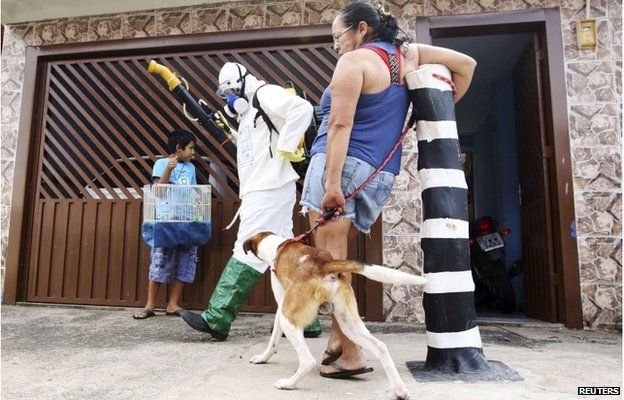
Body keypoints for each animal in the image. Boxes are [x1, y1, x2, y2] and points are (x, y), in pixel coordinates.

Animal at [241, 231, 426, 400]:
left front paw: (263, 358)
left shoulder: (281, 306)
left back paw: (288, 384)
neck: (278, 246)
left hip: (289, 319)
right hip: (349, 325)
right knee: (380, 347)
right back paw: (399, 390)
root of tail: (324, 265)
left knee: (308, 361)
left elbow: (273, 340)